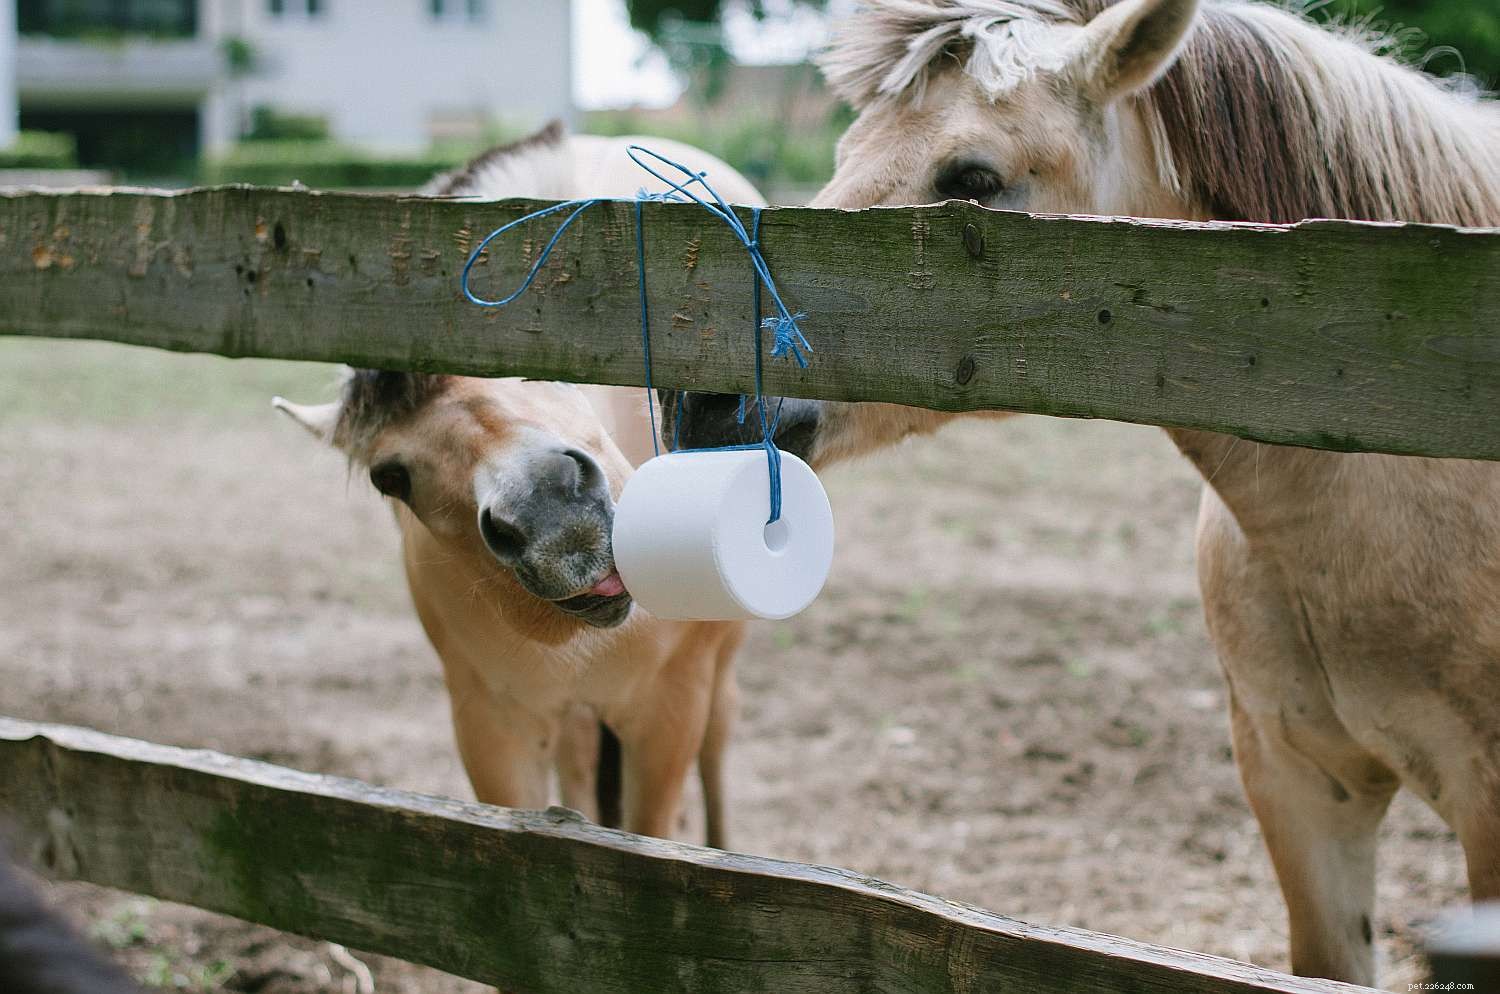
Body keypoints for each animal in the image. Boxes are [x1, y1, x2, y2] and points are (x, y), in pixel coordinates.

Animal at [276, 124, 763, 845]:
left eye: (547, 365)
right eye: (389, 477)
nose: (555, 518)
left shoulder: (670, 711)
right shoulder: (493, 724)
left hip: (717, 675)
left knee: (719, 748)